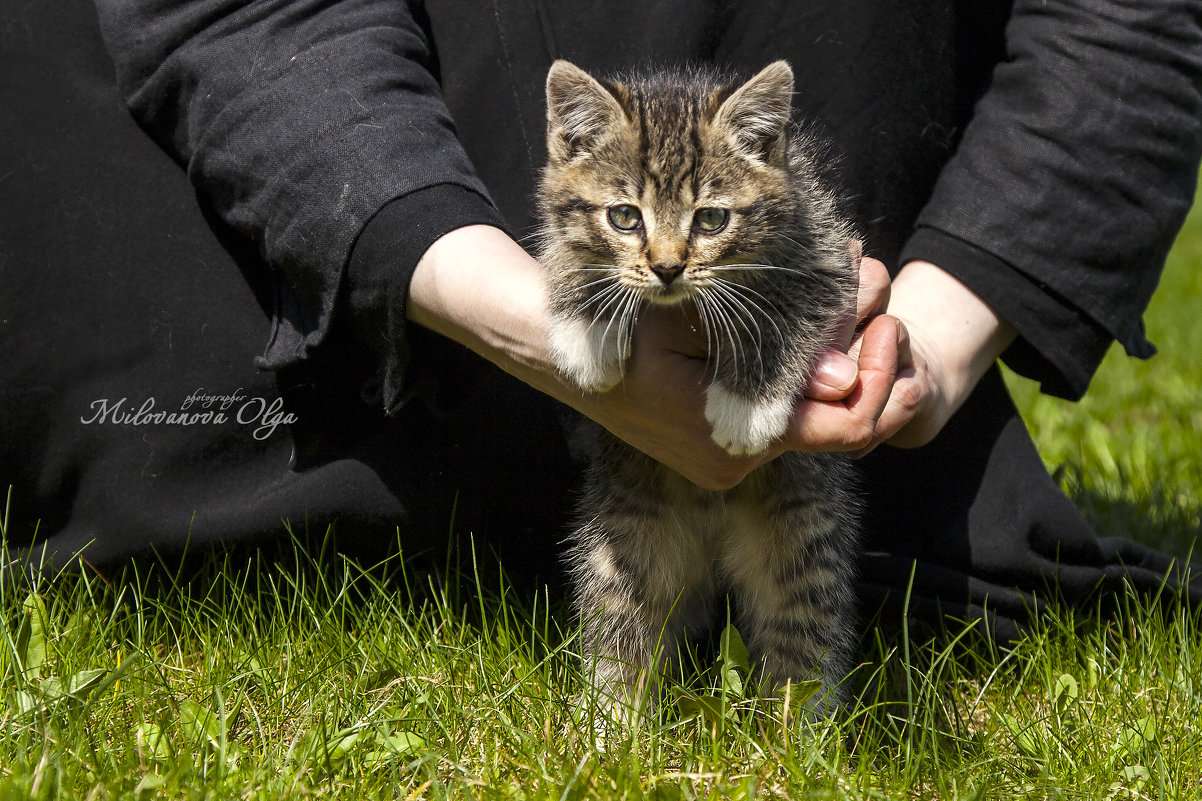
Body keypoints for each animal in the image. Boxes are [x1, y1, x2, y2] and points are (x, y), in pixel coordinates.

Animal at [540, 60, 860, 712]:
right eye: (624, 216)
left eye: (711, 219)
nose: (667, 267)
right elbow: (562, 248)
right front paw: (582, 325)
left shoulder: (827, 253)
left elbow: (790, 308)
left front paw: (747, 404)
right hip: (624, 541)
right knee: (620, 634)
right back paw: (610, 729)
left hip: (803, 542)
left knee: (804, 642)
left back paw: (798, 735)